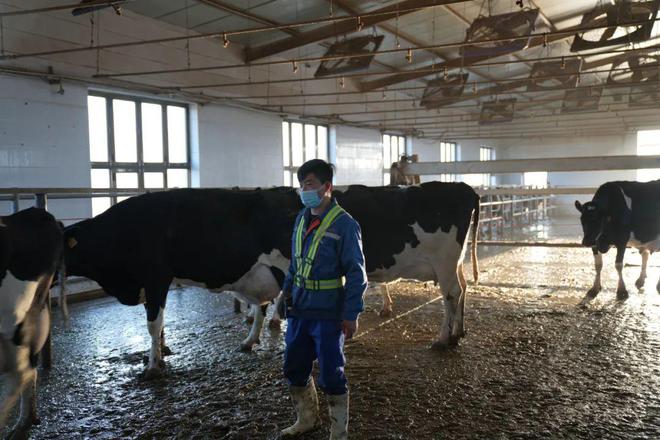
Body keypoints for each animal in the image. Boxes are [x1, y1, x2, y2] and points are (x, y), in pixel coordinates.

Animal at [63, 181, 480, 374]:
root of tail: (462, 187)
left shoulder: (155, 276)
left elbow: (154, 323)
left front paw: (153, 364)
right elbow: (259, 306)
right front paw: (250, 340)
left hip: (444, 261)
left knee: (450, 295)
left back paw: (443, 338)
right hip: (454, 262)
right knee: (461, 292)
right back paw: (458, 333)